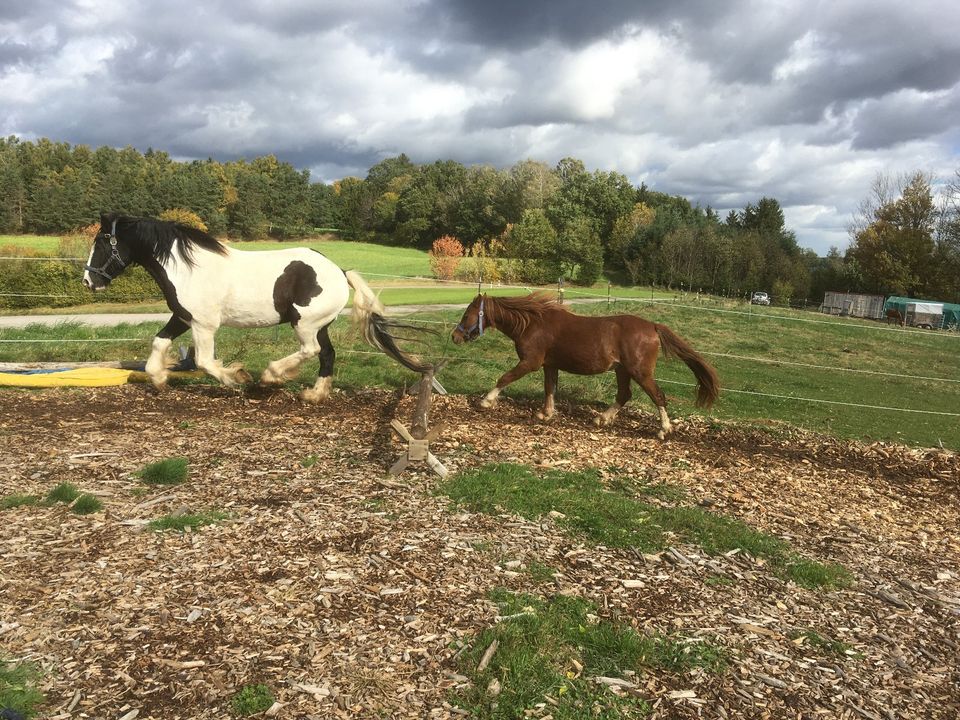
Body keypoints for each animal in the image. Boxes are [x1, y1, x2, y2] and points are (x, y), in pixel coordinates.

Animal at [84, 214, 430, 400]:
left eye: (100, 242)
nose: (89, 281)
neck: (186, 268)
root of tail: (339, 271)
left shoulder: (204, 325)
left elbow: (205, 362)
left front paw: (238, 378)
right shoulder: (183, 317)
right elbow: (159, 342)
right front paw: (158, 378)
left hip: (305, 323)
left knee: (312, 351)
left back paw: (270, 376)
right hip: (320, 325)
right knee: (327, 354)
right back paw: (314, 394)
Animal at [454, 292, 716, 438]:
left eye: (466, 314)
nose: (454, 337)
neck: (532, 324)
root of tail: (653, 326)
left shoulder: (531, 362)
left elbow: (504, 378)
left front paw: (485, 401)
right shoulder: (550, 365)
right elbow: (550, 389)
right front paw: (545, 414)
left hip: (640, 372)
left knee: (658, 396)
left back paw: (663, 430)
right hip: (623, 371)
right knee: (624, 394)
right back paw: (601, 419)